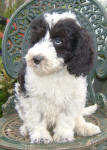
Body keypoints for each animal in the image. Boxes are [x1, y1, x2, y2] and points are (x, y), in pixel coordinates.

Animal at [14, 11, 100, 143]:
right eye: (37, 39)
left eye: (58, 41)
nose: (36, 59)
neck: (54, 72)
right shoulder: (30, 95)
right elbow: (36, 117)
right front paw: (40, 137)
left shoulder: (72, 98)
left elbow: (66, 118)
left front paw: (63, 135)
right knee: (25, 117)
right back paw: (25, 128)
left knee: (78, 116)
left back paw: (84, 127)